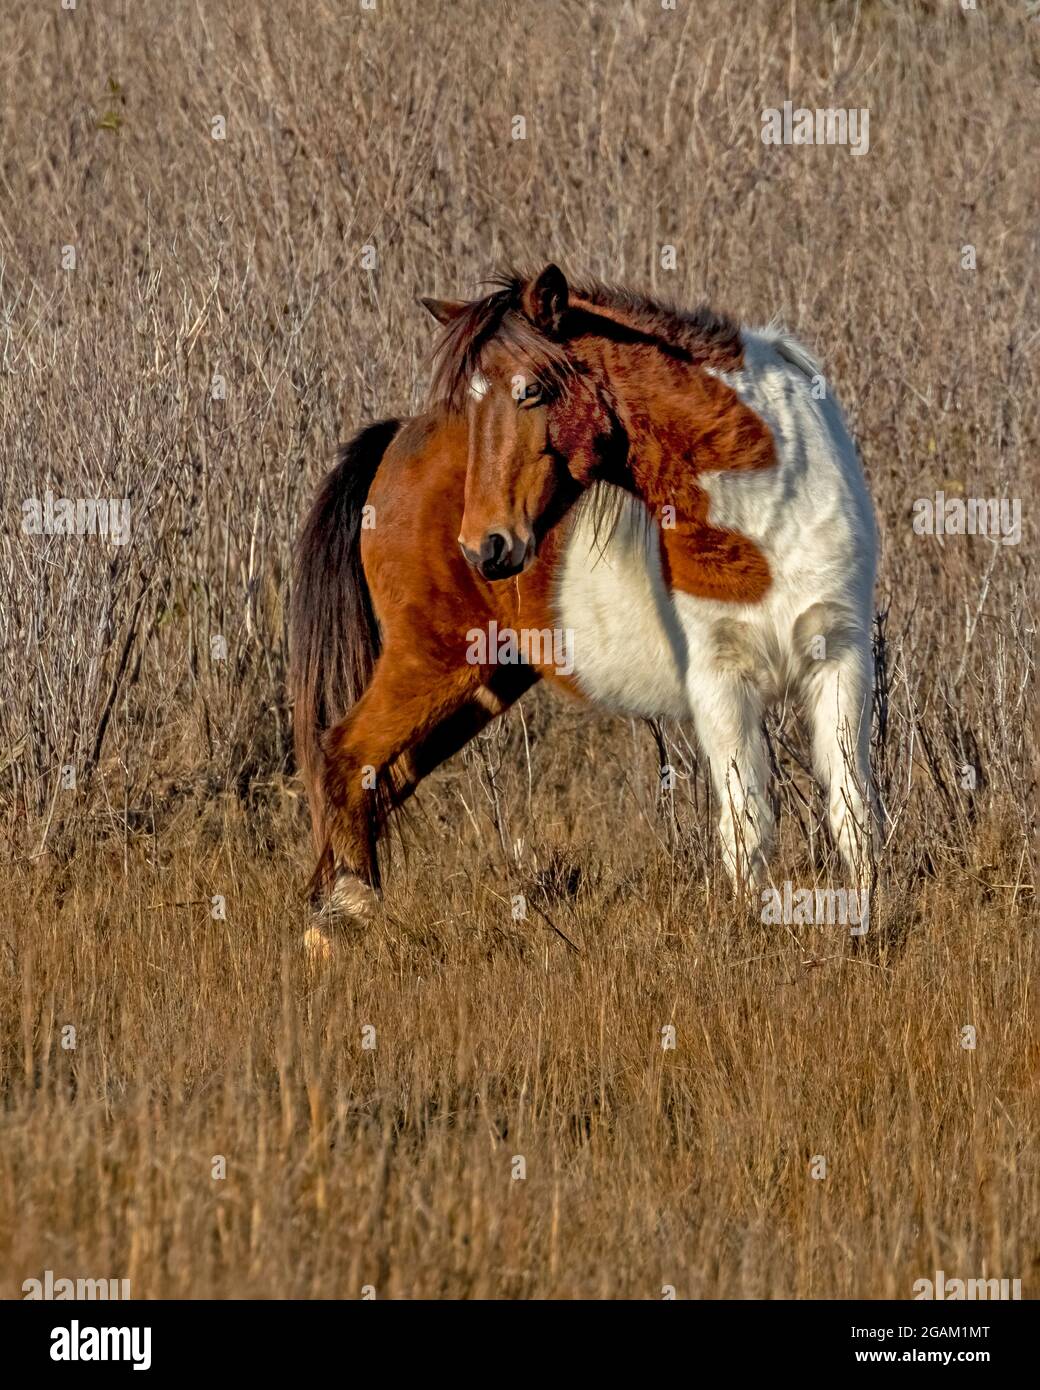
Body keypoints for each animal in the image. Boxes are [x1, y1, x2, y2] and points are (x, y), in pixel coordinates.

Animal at [290, 265, 878, 928]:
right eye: (468, 410)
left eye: (532, 392)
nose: (484, 547)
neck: (762, 509)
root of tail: (392, 445)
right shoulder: (720, 683)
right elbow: (747, 823)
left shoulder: (841, 661)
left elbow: (852, 809)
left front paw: (867, 919)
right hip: (429, 660)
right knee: (343, 758)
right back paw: (352, 910)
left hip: (479, 682)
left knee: (381, 779)